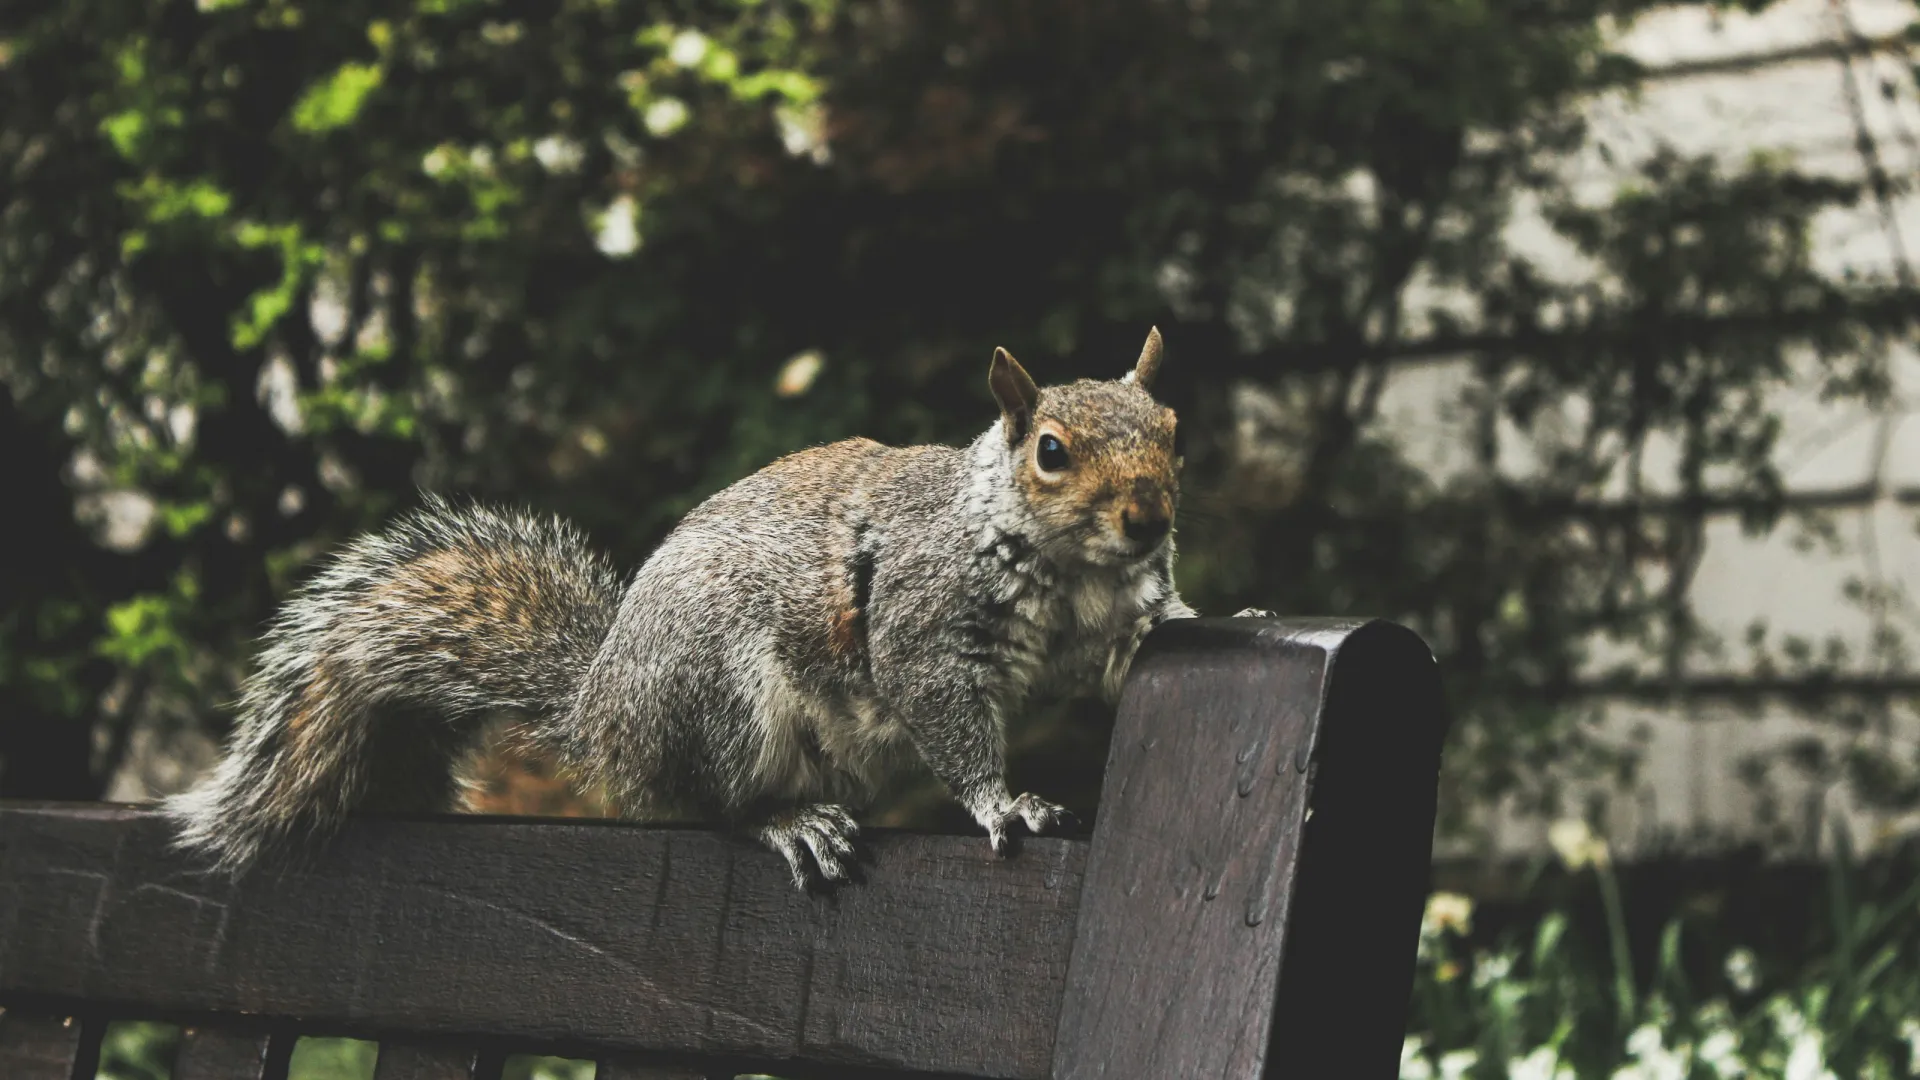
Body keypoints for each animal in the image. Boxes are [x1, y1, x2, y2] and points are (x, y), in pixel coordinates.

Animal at [165, 328, 1251, 883]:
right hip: (719, 696)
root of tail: (600, 715)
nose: (1149, 517)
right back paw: (786, 822)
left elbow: (1141, 642)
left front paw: (1225, 621)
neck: (1077, 572)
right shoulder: (923, 626)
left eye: (1171, 427)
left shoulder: (1111, 620)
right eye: (1051, 452)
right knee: (705, 806)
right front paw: (1003, 801)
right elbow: (947, 719)